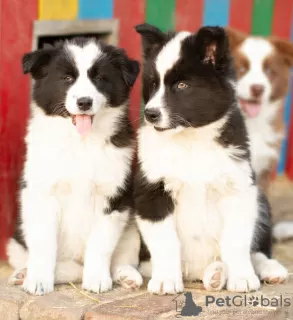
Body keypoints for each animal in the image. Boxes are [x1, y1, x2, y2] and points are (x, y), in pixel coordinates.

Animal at [6, 37, 143, 296]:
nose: (84, 102)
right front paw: (37, 280)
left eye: (99, 78)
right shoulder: (43, 194)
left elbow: (100, 244)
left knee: (119, 258)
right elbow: (44, 244)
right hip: (16, 239)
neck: (81, 142)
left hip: (132, 226)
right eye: (67, 78)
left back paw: (126, 275)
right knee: (66, 267)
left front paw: (97, 279)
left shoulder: (112, 198)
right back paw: (23, 274)